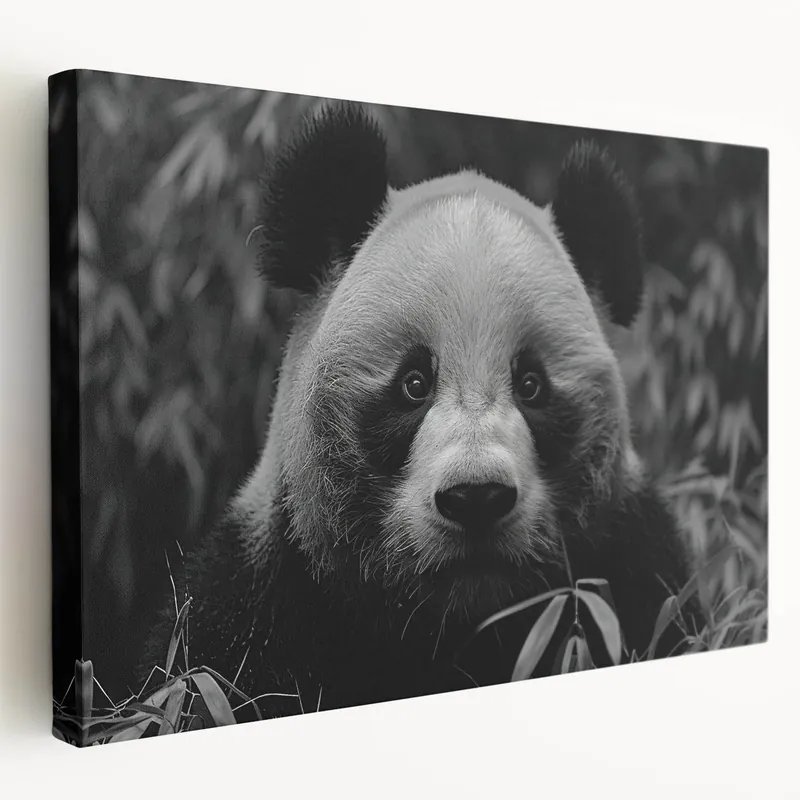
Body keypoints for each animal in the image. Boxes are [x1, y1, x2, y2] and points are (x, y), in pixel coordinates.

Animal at [145, 103, 691, 720]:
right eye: (413, 383)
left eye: (532, 385)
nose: (476, 497)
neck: (454, 623)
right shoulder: (261, 597)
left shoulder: (631, 572)